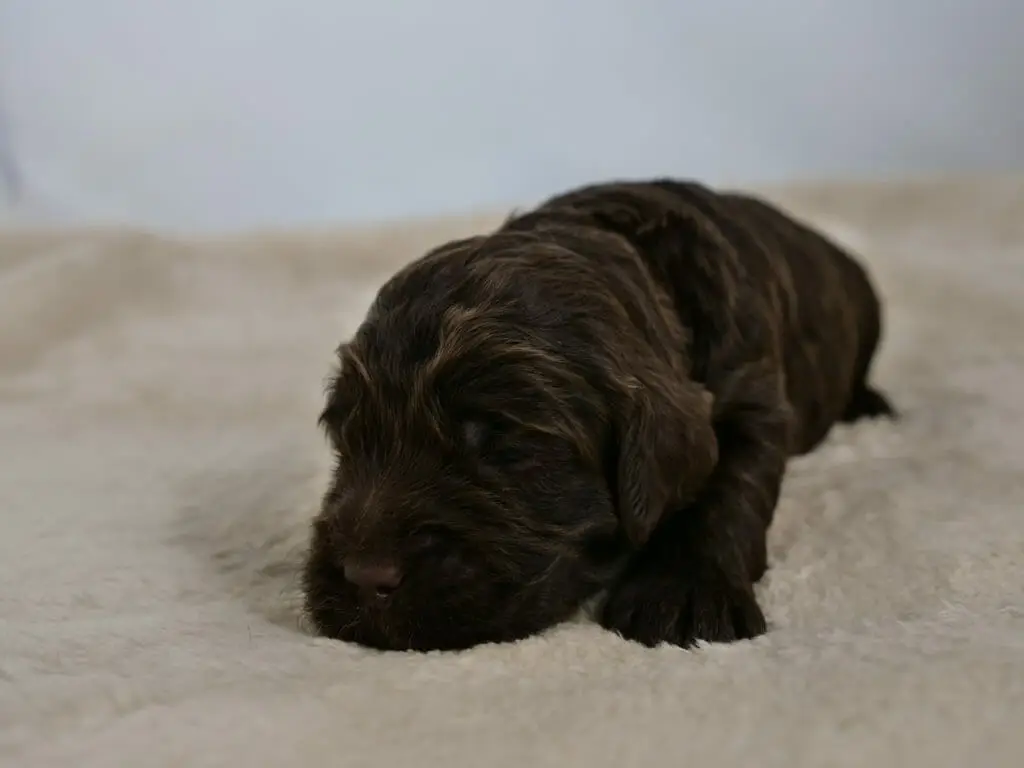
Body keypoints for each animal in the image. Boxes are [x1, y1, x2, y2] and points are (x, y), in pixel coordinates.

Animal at [299, 177, 892, 651]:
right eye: (349, 438)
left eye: (505, 444)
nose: (364, 576)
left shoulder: (755, 397)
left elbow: (727, 490)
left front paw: (685, 594)